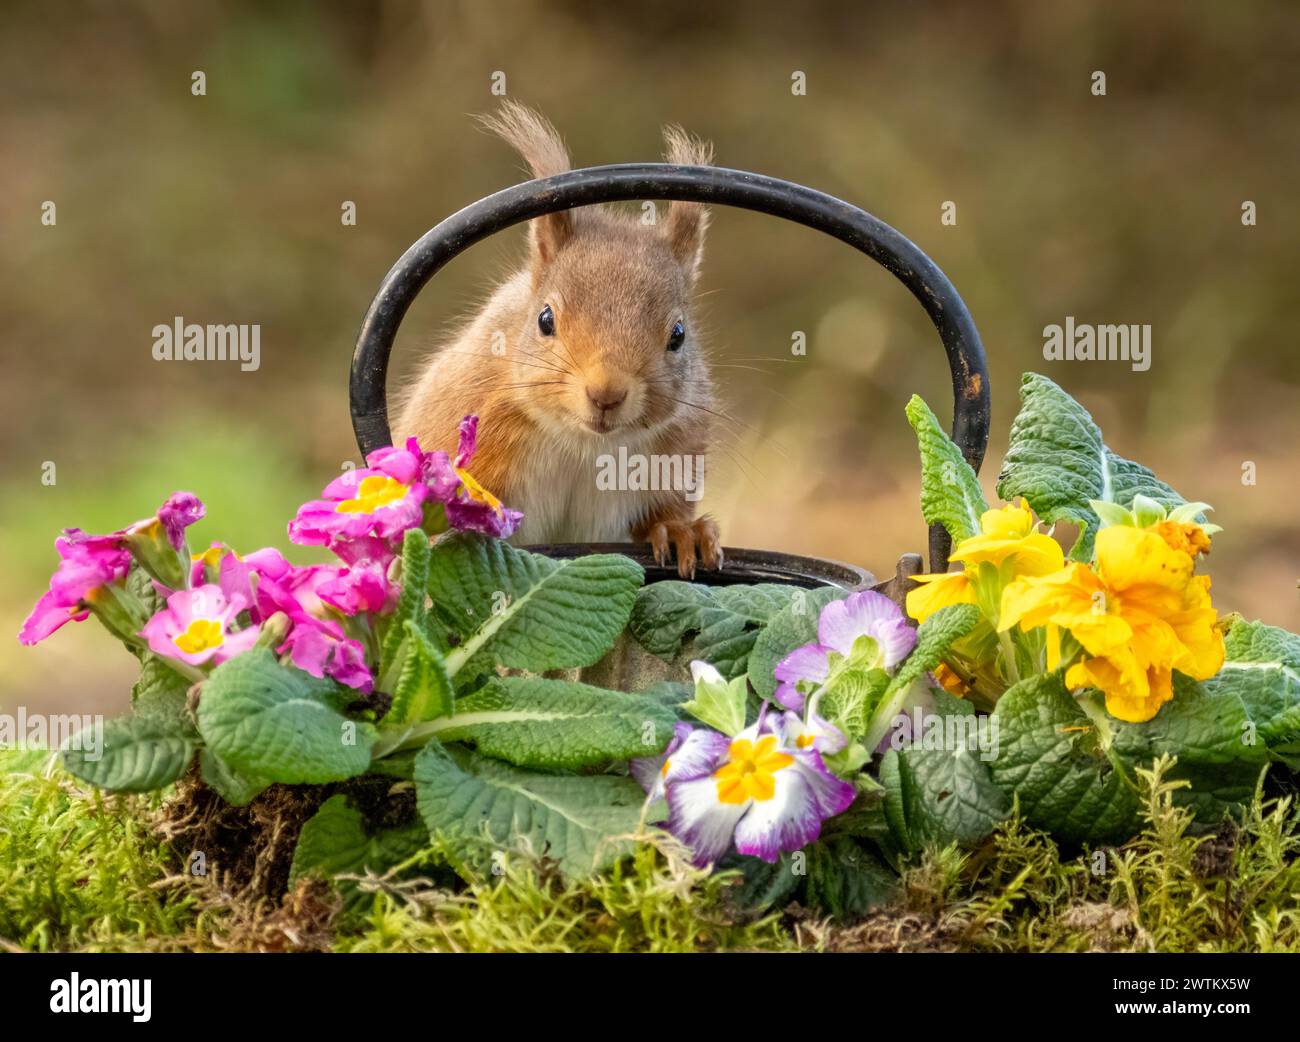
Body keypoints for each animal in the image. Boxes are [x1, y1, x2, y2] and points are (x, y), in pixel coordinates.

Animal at [395, 103, 722, 576]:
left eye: (678, 335)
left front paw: (682, 532)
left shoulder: (674, 455)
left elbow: (660, 515)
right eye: (545, 319)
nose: (606, 394)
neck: (584, 444)